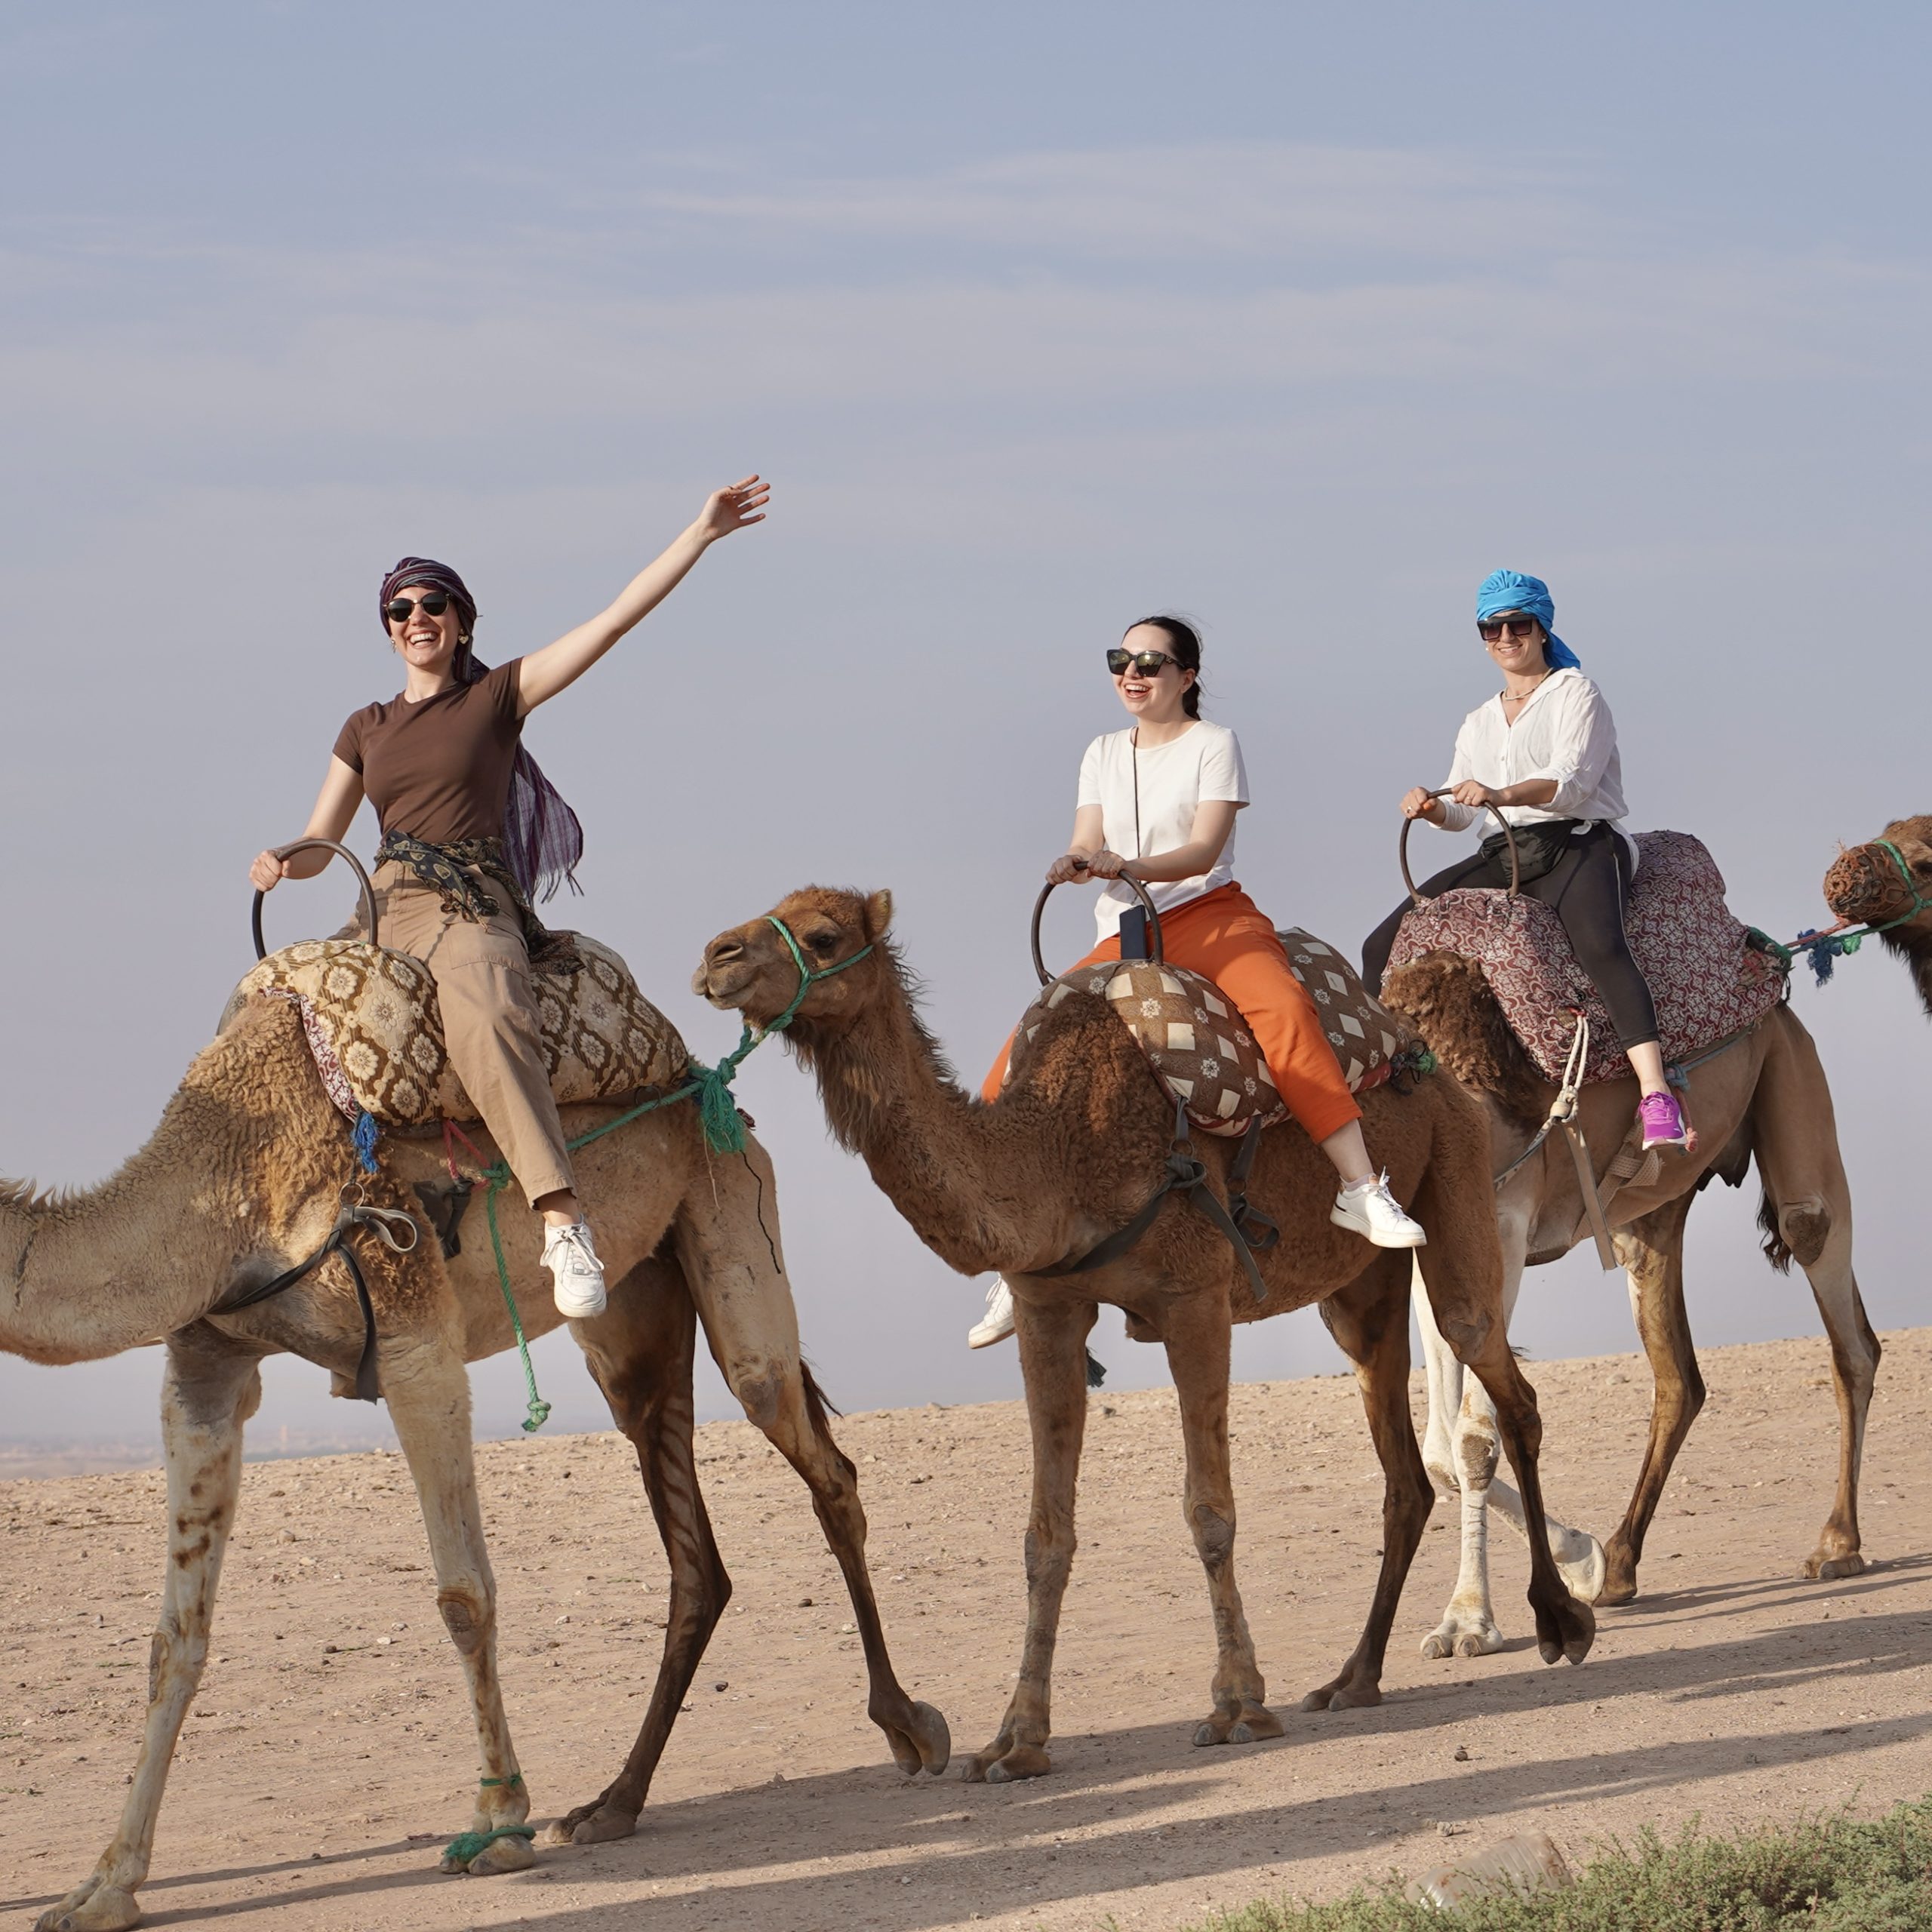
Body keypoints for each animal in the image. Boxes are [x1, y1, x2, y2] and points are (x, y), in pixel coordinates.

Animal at [5, 993, 948, 1932]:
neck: (218, 1194)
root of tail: (716, 1097)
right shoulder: (206, 1365)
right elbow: (175, 1638)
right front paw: (104, 1886)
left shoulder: (413, 1331)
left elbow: (463, 1596)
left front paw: (498, 1825)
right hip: (633, 1308)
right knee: (693, 1545)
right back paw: (611, 1804)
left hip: (732, 1212)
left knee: (815, 1455)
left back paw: (908, 1726)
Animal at [694, 886, 1594, 1784]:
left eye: (822, 934)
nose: (715, 958)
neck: (1062, 1153)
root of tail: (1425, 1064)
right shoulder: (1048, 1310)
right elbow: (1045, 1533)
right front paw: (1016, 1739)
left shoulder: (1196, 1298)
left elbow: (1209, 1509)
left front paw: (1237, 1705)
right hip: (1358, 1291)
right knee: (1404, 1471)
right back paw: (1352, 1678)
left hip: (1461, 1173)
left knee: (1501, 1376)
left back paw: (1561, 1616)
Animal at [1380, 951, 1879, 1657]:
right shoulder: (1434, 1249)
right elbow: (1441, 1452)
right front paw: (1576, 1560)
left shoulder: (1502, 1227)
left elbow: (1474, 1439)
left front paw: (1471, 1619)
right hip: (1649, 1213)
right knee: (1680, 1377)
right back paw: (1617, 1564)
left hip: (1791, 1072)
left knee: (1827, 1272)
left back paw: (1837, 1544)